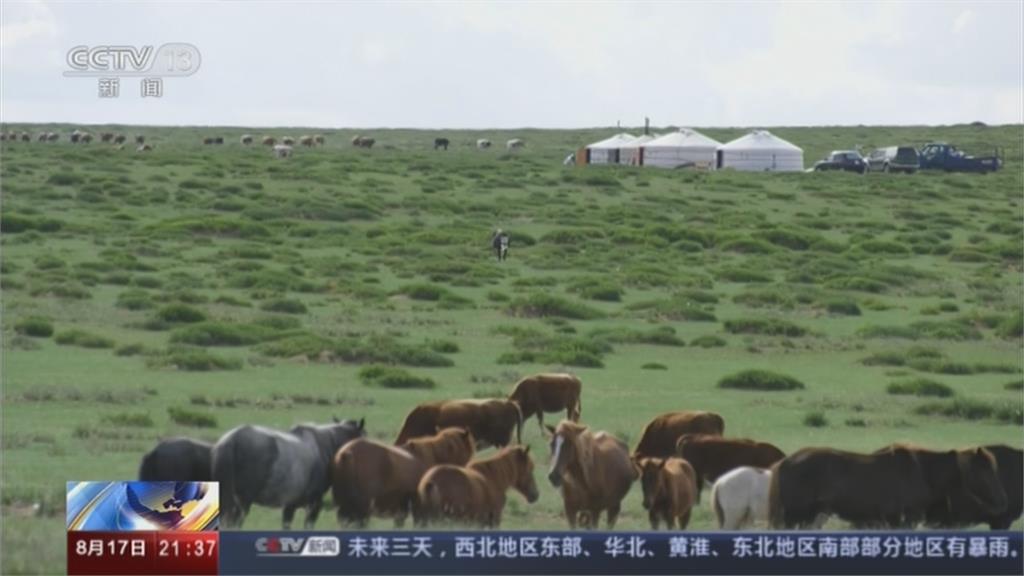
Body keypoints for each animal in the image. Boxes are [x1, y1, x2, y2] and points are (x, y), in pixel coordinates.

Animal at [331, 428, 475, 528]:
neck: (433, 455)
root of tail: (346, 453)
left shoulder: (402, 508)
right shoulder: (418, 507)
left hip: (345, 506)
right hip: (361, 508)